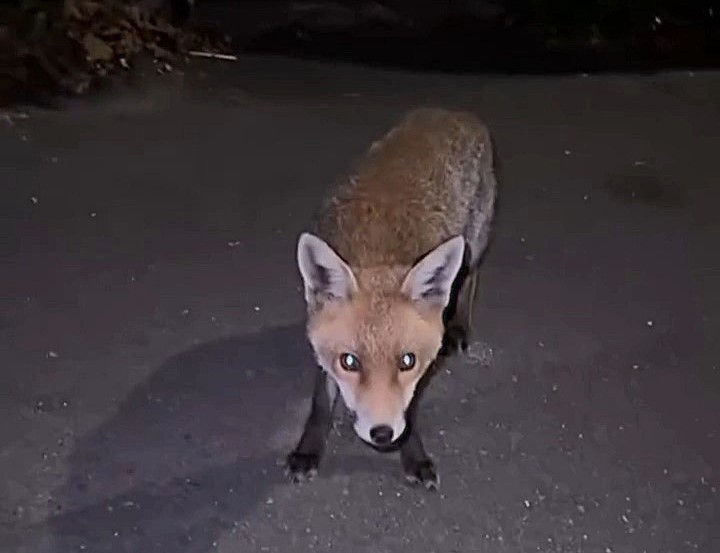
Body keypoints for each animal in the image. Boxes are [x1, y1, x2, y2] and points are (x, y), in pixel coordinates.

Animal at [286, 107, 498, 489]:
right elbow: (321, 402)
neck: (377, 249)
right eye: (350, 362)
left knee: (470, 277)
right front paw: (308, 449)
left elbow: (409, 410)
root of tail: (452, 110)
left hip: (472, 244)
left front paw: (413, 455)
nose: (382, 434)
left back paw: (459, 325)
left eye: (407, 361)